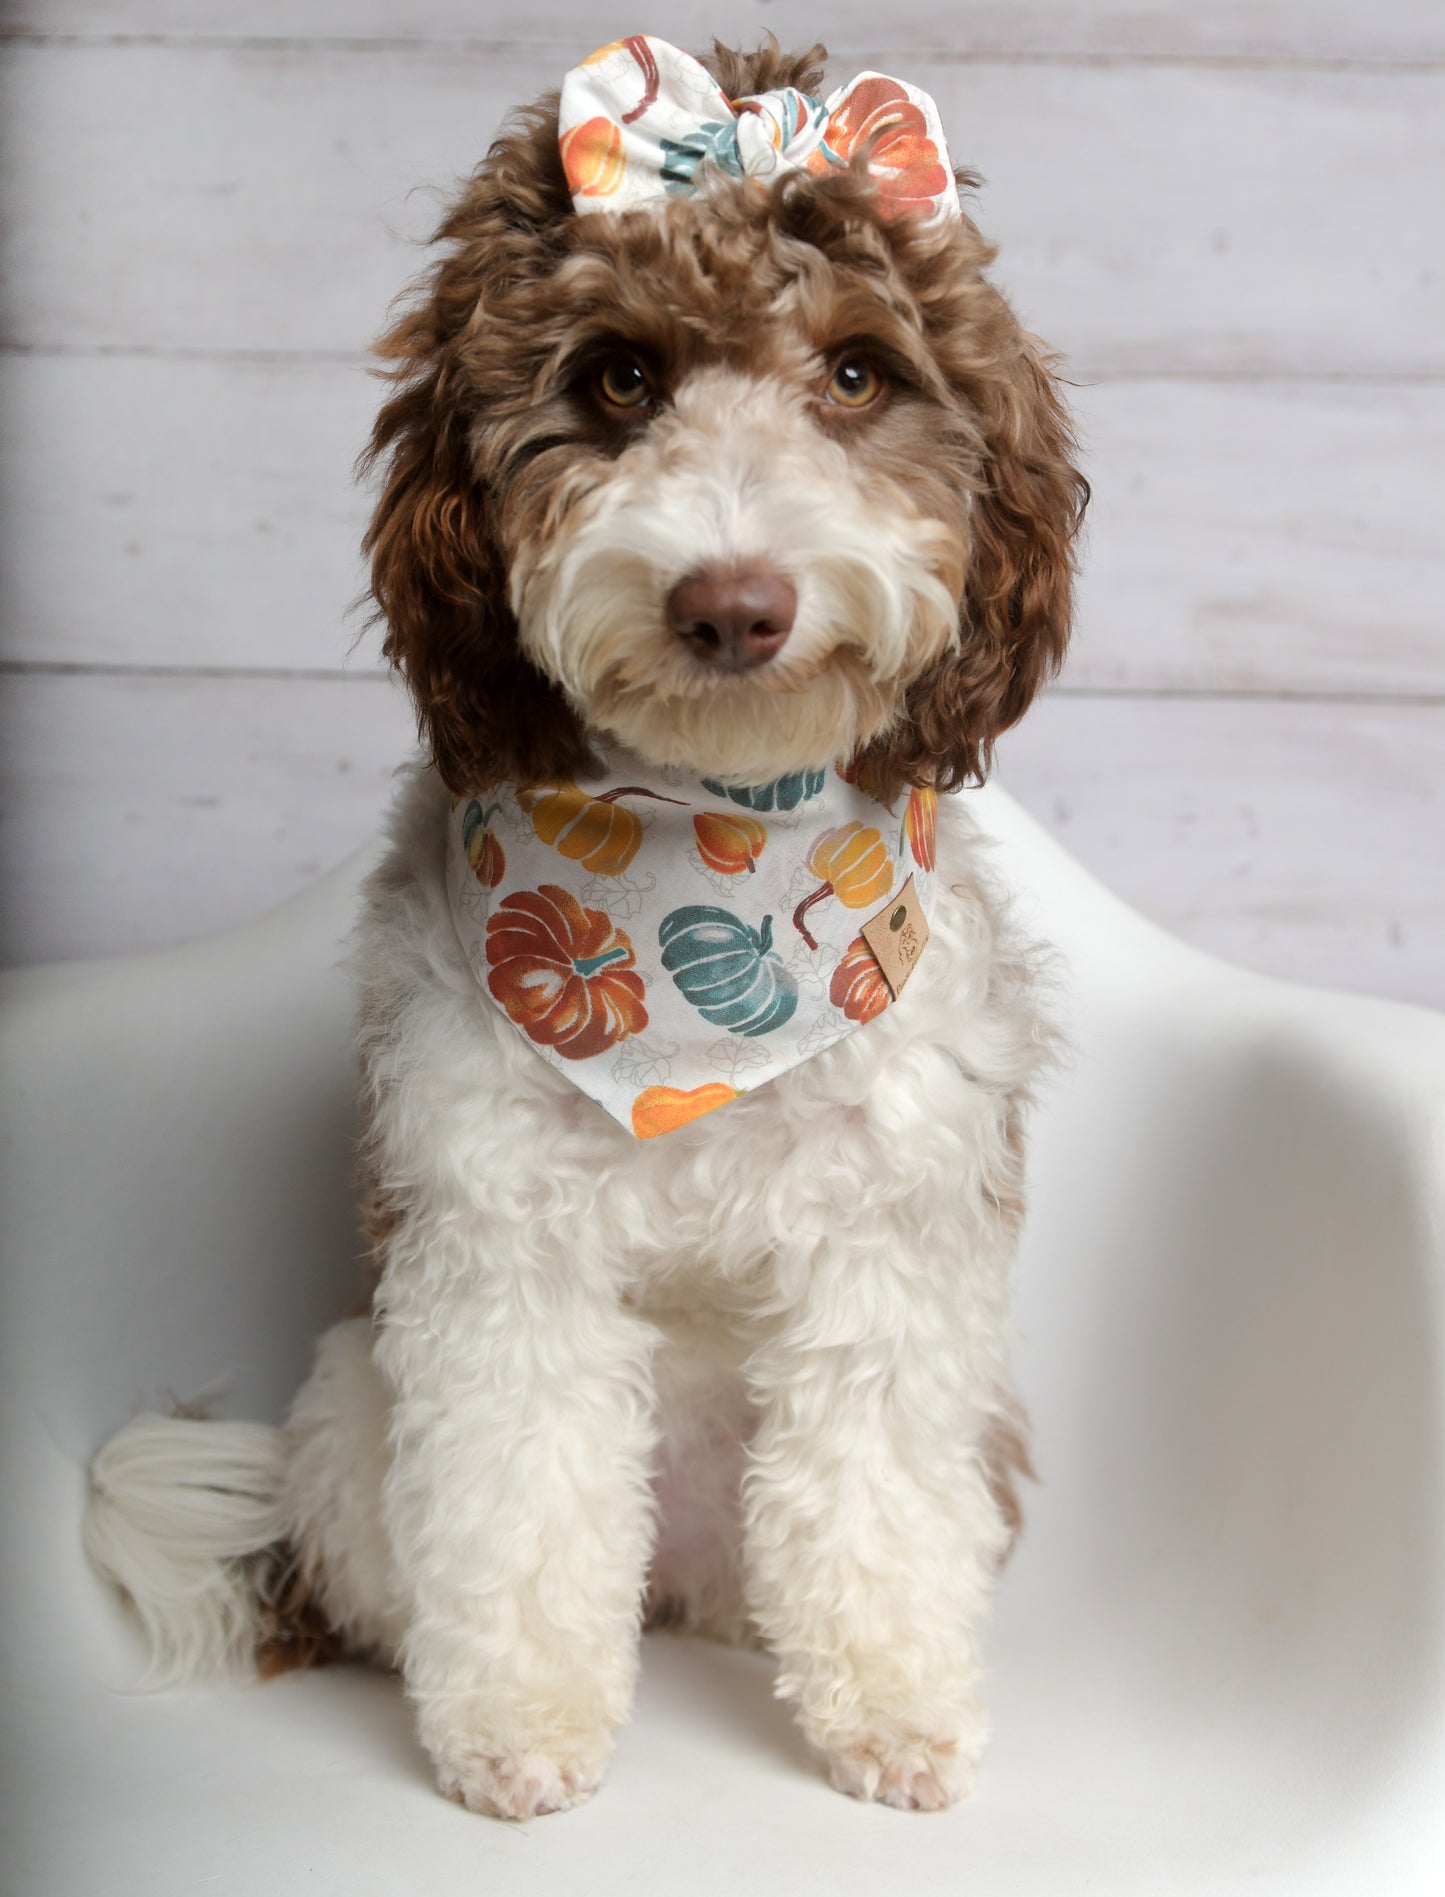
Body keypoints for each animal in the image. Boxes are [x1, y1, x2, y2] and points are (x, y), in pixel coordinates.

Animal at [84, 36, 1077, 1821]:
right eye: (619, 379)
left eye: (855, 374)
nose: (733, 604)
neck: (702, 853)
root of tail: (682, 1580)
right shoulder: (496, 1243)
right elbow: (520, 1493)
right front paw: (522, 1731)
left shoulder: (895, 1244)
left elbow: (878, 1493)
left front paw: (895, 1715)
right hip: (355, 1401)